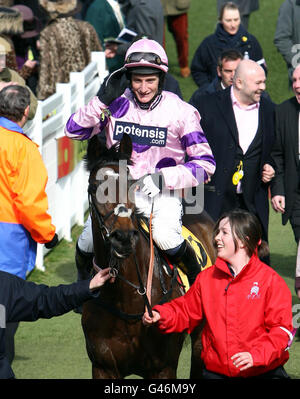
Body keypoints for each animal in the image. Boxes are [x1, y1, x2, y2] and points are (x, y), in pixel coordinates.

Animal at [80, 134, 216, 378]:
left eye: (131, 184)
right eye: (96, 187)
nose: (123, 237)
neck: (126, 298)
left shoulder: (163, 368)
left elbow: (204, 161)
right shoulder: (103, 367)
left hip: (201, 339)